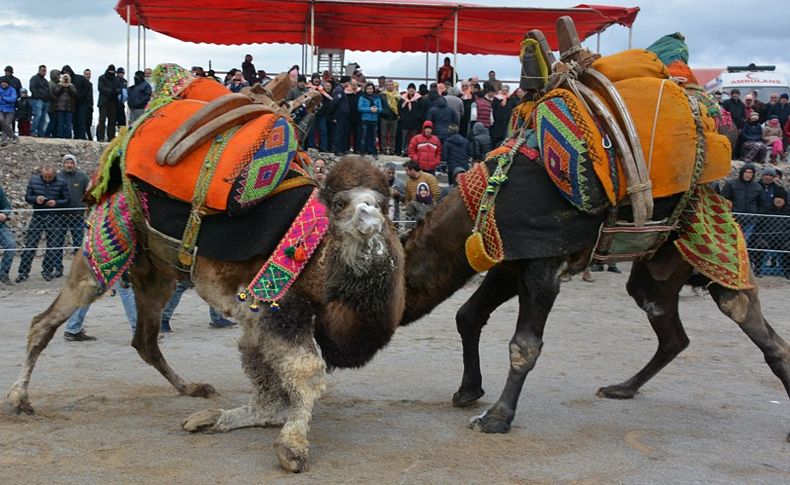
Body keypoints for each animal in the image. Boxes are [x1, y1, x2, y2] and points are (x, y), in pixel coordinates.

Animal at [3, 156, 406, 472]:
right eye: (339, 203)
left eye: (382, 203)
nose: (369, 218)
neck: (321, 256)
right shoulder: (278, 306)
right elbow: (304, 371)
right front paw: (292, 448)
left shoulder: (259, 317)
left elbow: (266, 373)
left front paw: (233, 418)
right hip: (101, 250)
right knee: (44, 322)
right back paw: (19, 400)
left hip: (155, 275)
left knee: (145, 340)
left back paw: (192, 388)